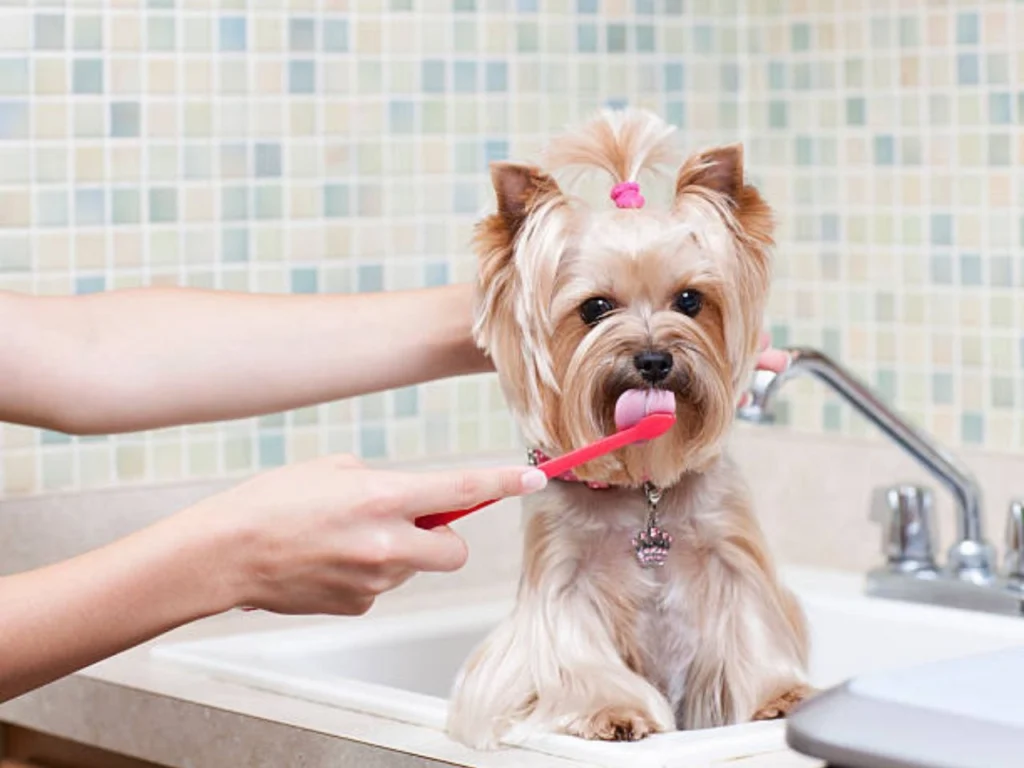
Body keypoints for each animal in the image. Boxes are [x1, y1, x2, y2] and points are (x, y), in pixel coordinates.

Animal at [446, 111, 806, 749]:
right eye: (595, 308)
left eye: (690, 300)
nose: (655, 359)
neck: (644, 488)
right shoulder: (562, 579)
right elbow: (577, 653)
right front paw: (611, 712)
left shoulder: (733, 554)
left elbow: (754, 626)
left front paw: (778, 696)